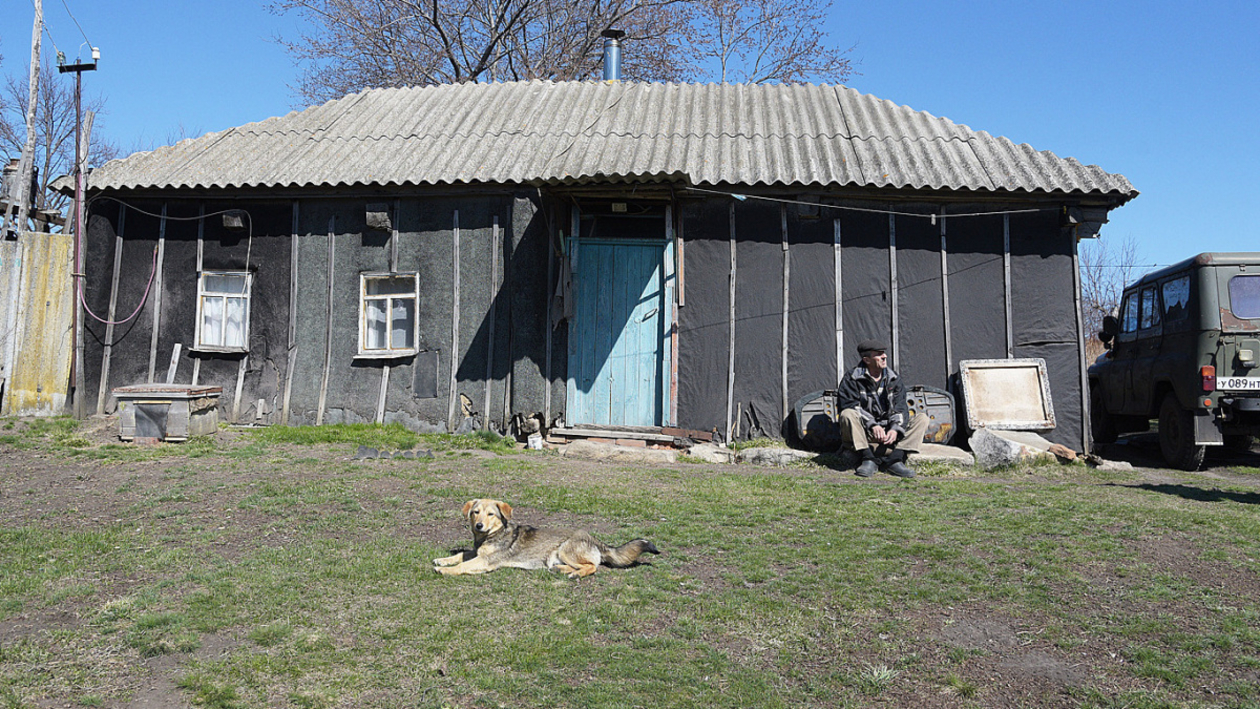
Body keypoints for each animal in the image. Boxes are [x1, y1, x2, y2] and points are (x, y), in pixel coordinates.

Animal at [435, 498, 660, 576]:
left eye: (491, 514)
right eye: (476, 512)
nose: (479, 525)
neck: (491, 535)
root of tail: (593, 538)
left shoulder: (484, 561)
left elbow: (462, 565)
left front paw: (445, 570)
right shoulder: (476, 553)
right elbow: (461, 555)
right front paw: (443, 560)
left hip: (565, 549)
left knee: (592, 567)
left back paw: (575, 574)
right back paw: (561, 570)